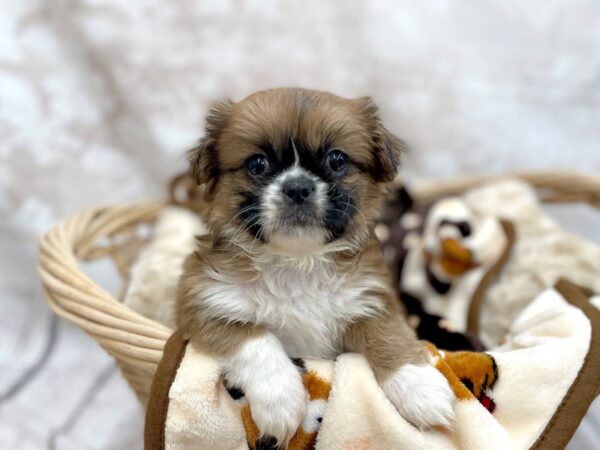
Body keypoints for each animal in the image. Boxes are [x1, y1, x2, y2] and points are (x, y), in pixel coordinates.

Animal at [176, 89, 452, 446]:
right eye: (257, 163)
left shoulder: (373, 302)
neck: (296, 264)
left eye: (336, 160)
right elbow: (255, 338)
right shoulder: (201, 305)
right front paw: (281, 400)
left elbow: (388, 337)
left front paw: (421, 388)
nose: (297, 187)